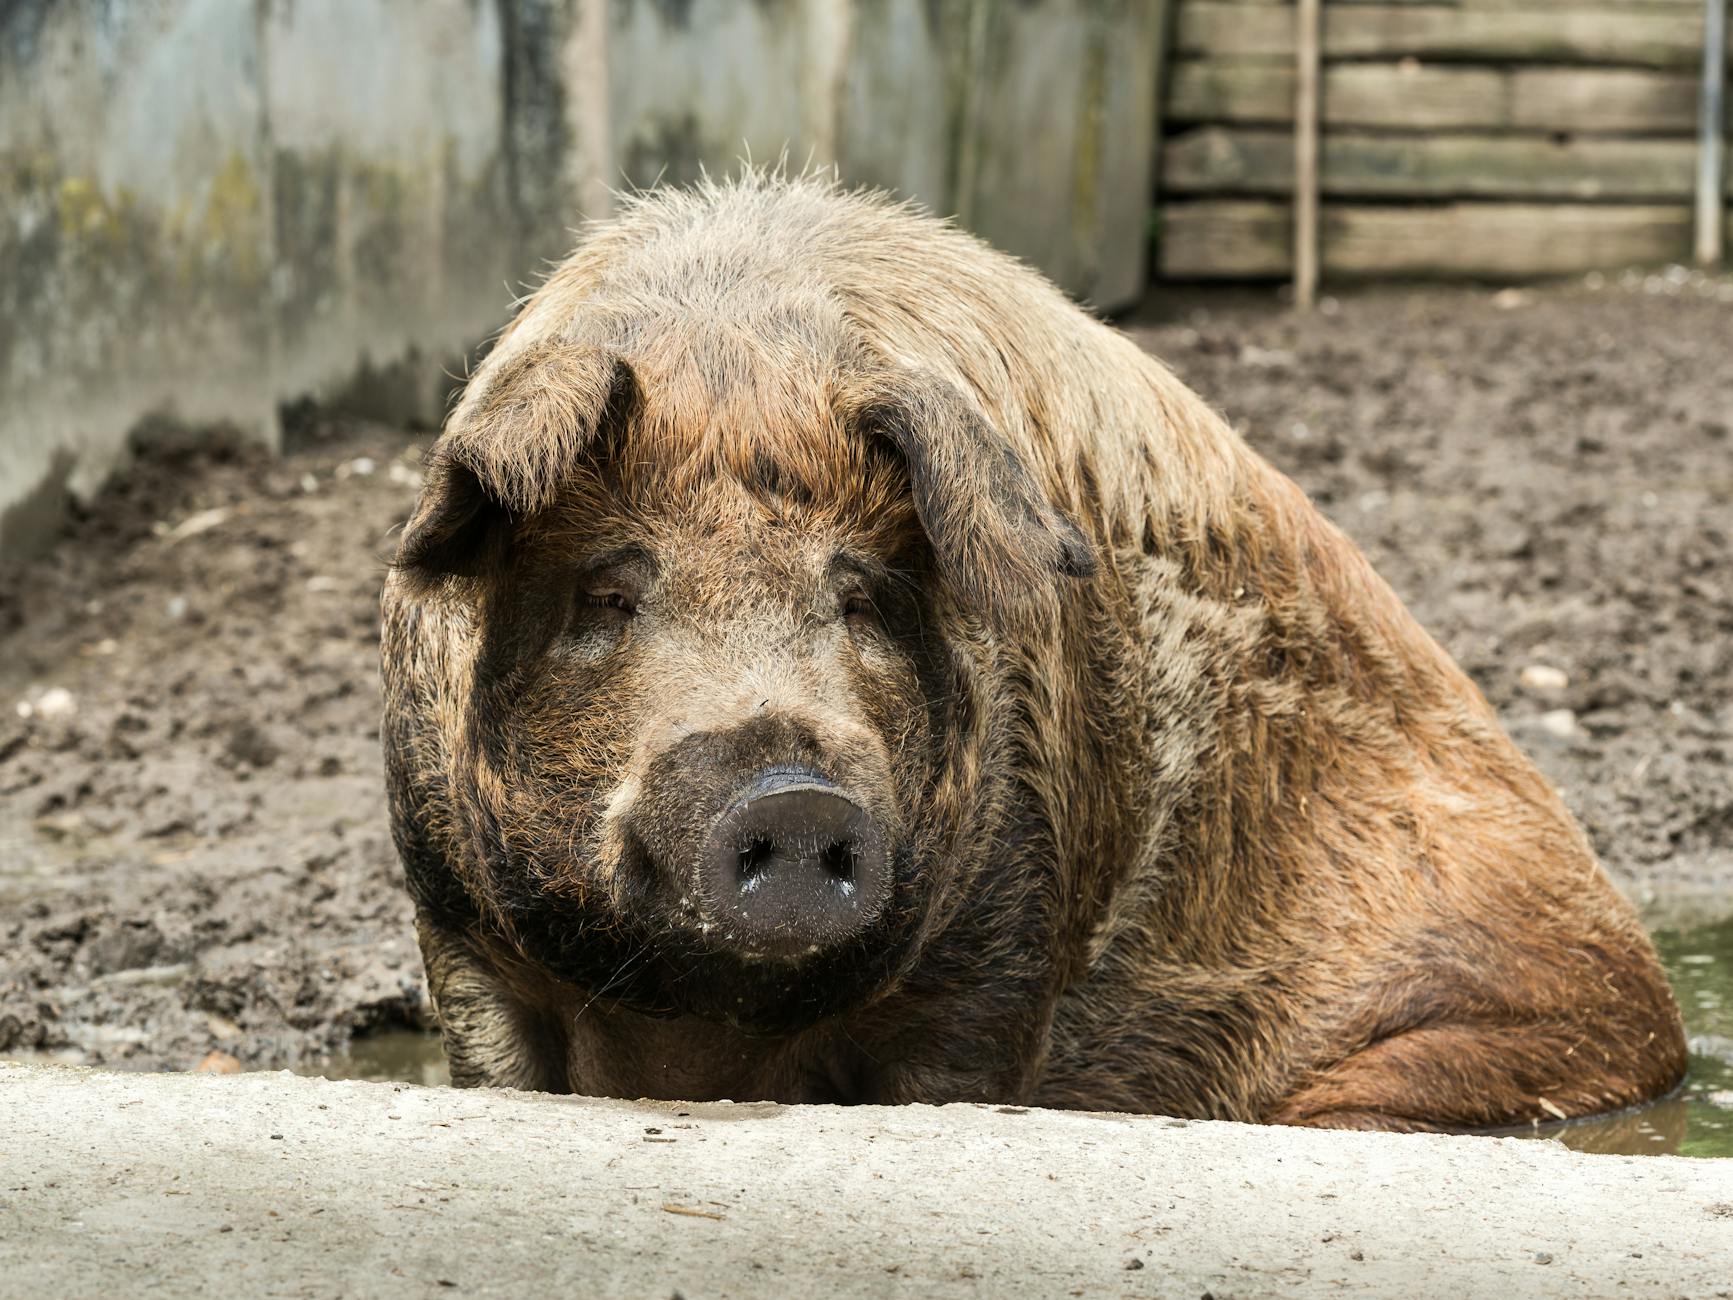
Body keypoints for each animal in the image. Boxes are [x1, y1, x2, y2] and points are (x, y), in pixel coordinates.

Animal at [380, 173, 1686, 1128]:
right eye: (607, 594)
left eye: (861, 597)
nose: (791, 789)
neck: (702, 1021)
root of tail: (1657, 1005)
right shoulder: (456, 929)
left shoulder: (1003, 931)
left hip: (1456, 1041)